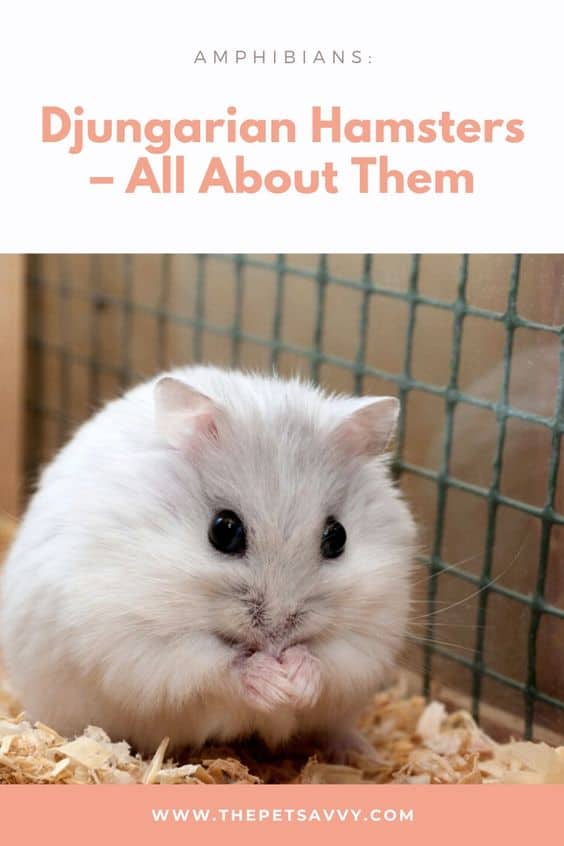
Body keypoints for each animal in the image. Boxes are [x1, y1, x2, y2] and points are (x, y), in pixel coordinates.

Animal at [0, 366, 416, 756]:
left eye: (338, 537)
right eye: (224, 530)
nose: (278, 637)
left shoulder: (370, 636)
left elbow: (330, 660)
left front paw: (295, 682)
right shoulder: (141, 641)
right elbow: (218, 667)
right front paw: (273, 682)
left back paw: (362, 753)